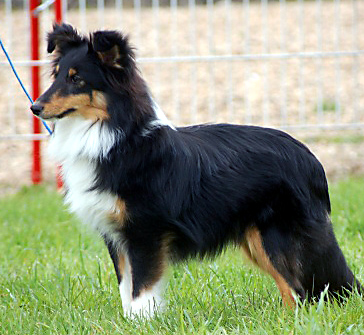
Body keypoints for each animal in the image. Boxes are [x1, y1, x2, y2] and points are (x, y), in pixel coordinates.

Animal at [30, 23, 362, 318]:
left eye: (77, 80)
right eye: (56, 76)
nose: (35, 107)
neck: (116, 139)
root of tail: (311, 159)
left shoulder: (145, 233)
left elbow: (141, 290)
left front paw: (143, 322)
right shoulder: (115, 235)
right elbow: (127, 289)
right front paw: (130, 322)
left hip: (276, 237)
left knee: (299, 289)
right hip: (257, 240)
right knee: (297, 291)